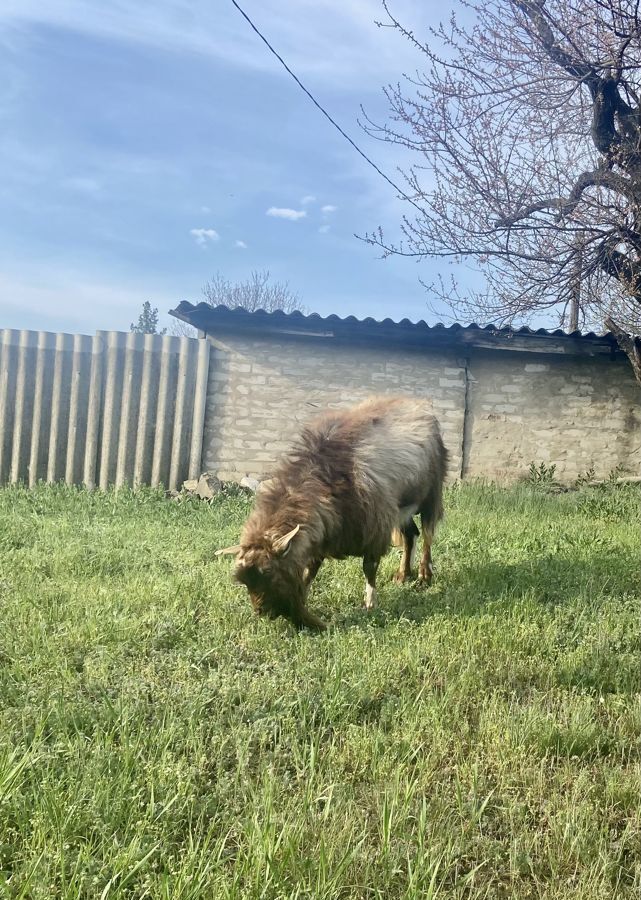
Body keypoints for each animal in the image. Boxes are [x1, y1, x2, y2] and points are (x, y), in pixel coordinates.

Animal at [218, 398, 448, 628]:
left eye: (270, 573)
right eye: (245, 581)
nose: (262, 612)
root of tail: (422, 406)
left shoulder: (374, 527)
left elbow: (369, 568)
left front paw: (369, 605)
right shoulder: (321, 534)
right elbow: (310, 571)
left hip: (431, 492)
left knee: (428, 532)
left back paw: (424, 574)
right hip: (402, 509)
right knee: (411, 535)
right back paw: (403, 574)